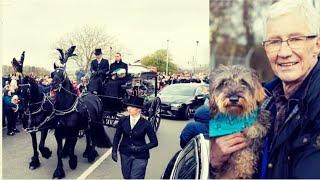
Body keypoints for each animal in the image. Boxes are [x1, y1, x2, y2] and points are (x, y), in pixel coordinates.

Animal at [50, 46, 112, 179]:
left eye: (62, 74)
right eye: (52, 74)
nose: (53, 85)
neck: (66, 108)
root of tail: (94, 95)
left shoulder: (73, 132)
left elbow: (71, 148)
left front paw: (73, 162)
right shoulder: (59, 133)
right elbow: (59, 152)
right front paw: (59, 170)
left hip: (96, 122)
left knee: (93, 137)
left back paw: (91, 154)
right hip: (88, 123)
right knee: (89, 136)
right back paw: (87, 152)